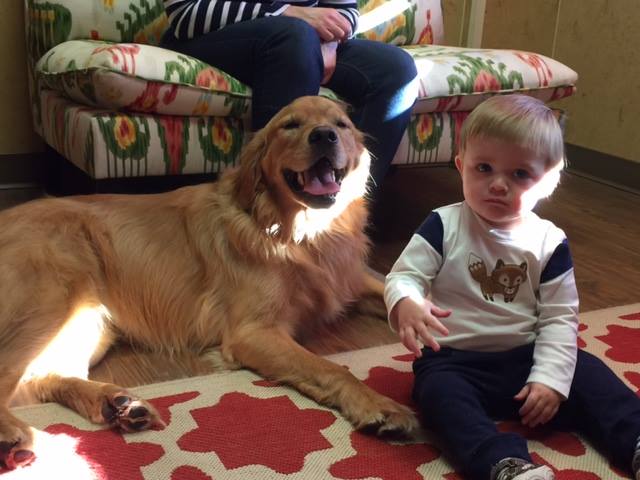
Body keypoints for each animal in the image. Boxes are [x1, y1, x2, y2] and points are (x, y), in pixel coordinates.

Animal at [0, 96, 417, 469]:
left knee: (44, 376)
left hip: (88, 321)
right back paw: (14, 436)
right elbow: (330, 367)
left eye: (341, 124)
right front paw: (379, 405)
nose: (324, 135)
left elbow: (399, 295)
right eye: (291, 125)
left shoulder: (350, 281)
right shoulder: (252, 332)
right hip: (51, 302)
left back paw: (118, 404)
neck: (299, 234)